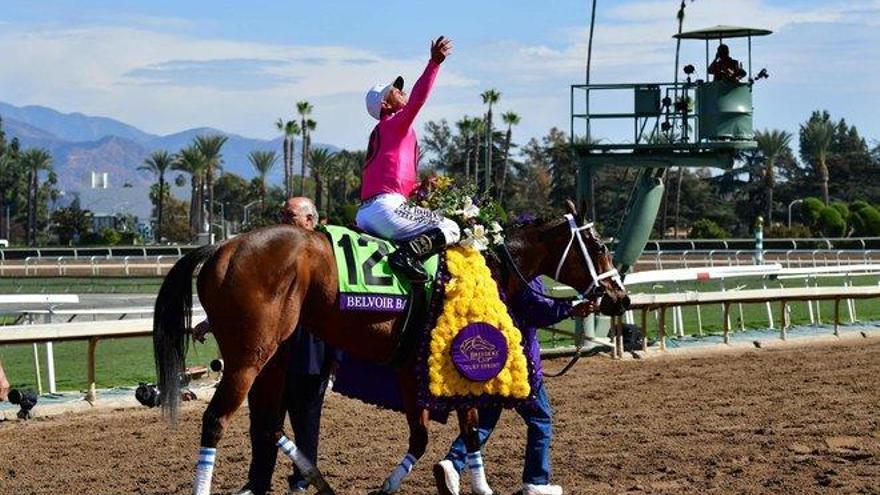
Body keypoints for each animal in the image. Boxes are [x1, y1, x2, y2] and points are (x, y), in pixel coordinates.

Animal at [155, 202, 628, 495]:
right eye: (599, 246)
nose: (619, 298)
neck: (488, 266)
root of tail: (224, 245)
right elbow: (467, 429)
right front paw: (477, 485)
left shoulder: (410, 366)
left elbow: (428, 435)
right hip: (247, 358)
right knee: (217, 420)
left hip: (276, 355)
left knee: (268, 424)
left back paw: (316, 480)